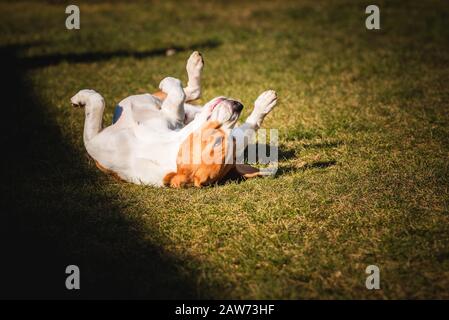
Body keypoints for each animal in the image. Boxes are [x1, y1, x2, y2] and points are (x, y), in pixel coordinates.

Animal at [71, 52, 276, 188]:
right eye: (218, 141)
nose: (238, 106)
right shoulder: (173, 117)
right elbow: (179, 93)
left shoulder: (93, 140)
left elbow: (98, 102)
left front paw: (82, 97)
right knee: (190, 93)